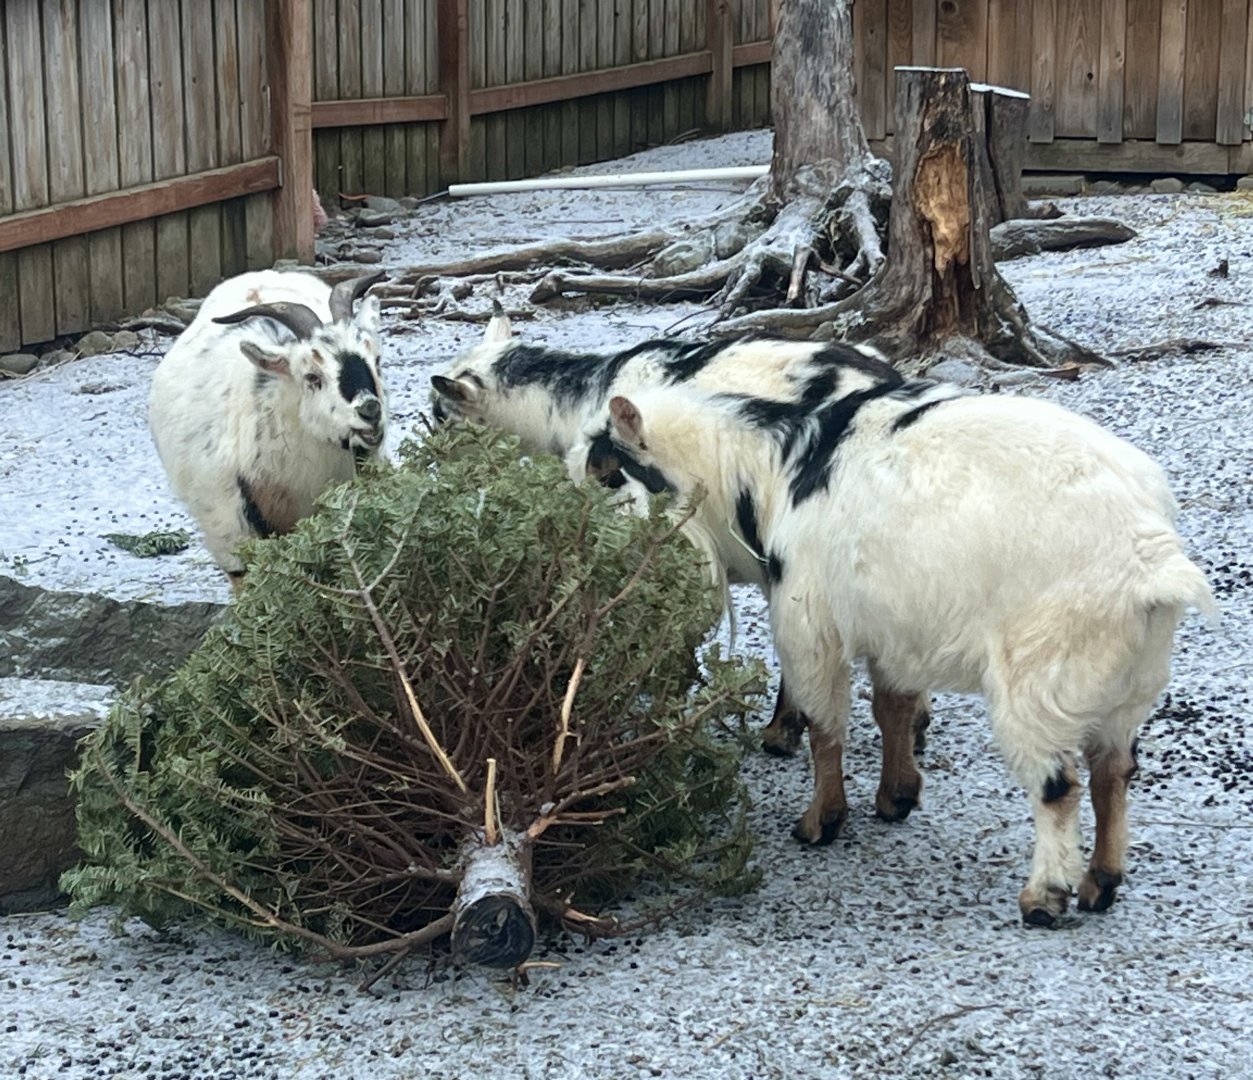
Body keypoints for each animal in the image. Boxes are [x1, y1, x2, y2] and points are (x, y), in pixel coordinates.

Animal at [603, 376, 1216, 925]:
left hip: (1041, 675)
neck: (770, 471)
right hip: (1126, 683)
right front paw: (895, 797)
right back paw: (1100, 884)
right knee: (1114, 772)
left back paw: (1045, 896)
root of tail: (1148, 555)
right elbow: (892, 708)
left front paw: (820, 821)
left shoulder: (809, 624)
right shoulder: (896, 633)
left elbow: (825, 726)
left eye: (607, 471)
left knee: (1057, 785)